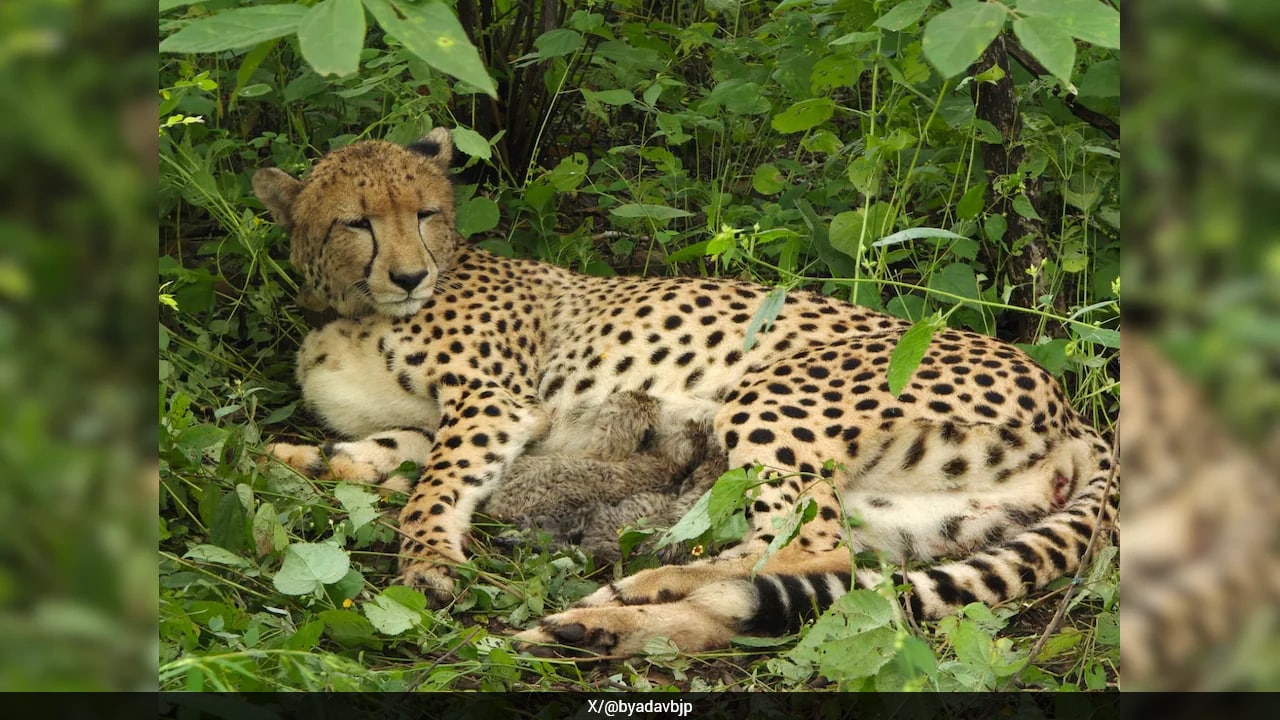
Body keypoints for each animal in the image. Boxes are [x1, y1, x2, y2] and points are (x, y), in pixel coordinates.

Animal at [252, 127, 1119, 656]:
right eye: (357, 222)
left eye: (426, 212)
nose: (409, 275)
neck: (353, 309)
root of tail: (1076, 408)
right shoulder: (441, 422)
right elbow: (377, 452)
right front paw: (289, 461)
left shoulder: (494, 404)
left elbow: (431, 487)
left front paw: (427, 560)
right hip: (915, 514)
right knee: (793, 571)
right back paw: (611, 617)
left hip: (774, 394)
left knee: (813, 548)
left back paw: (624, 601)